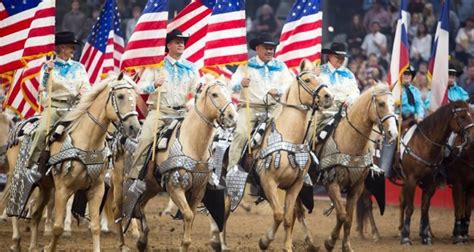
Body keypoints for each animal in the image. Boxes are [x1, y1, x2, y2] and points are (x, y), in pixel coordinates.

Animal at [6, 72, 140, 251]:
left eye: (135, 97)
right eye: (120, 96)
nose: (135, 128)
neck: (87, 141)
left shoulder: (96, 189)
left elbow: (95, 227)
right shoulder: (63, 189)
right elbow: (57, 227)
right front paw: (50, 246)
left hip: (45, 187)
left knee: (35, 213)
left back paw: (33, 246)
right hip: (18, 177)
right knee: (14, 206)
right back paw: (15, 241)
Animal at [129, 80, 237, 252]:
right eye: (214, 94)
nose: (232, 116)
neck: (193, 144)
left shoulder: (198, 191)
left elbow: (191, 217)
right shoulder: (175, 188)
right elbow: (188, 215)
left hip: (152, 186)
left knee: (140, 206)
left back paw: (142, 241)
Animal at [213, 59, 336, 252]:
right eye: (307, 80)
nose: (328, 96)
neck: (288, 137)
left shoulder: (295, 186)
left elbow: (288, 217)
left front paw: (287, 247)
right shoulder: (268, 182)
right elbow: (278, 214)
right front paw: (264, 241)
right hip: (227, 180)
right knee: (224, 210)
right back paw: (222, 244)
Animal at [314, 84, 400, 252]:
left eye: (394, 104)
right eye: (381, 103)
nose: (393, 133)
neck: (351, 142)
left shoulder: (356, 187)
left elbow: (348, 217)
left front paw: (346, 246)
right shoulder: (332, 184)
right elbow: (341, 215)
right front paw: (330, 242)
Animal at [396, 101, 474, 246]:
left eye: (472, 114)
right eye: (462, 116)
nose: (473, 137)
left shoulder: (431, 182)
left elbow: (425, 208)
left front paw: (426, 238)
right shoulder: (411, 180)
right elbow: (410, 208)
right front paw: (406, 238)